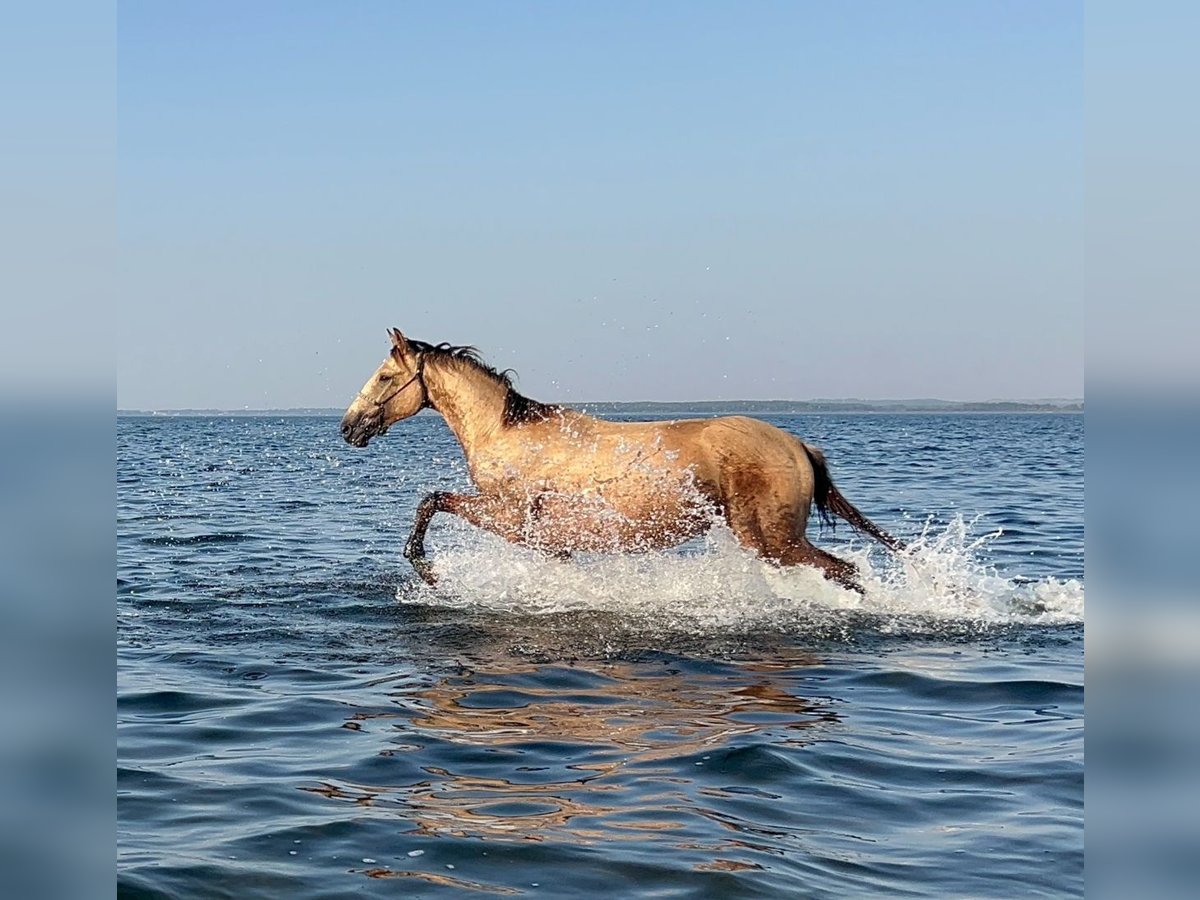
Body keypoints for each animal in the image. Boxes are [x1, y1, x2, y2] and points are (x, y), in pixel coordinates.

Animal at [340, 329, 904, 593]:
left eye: (386, 378)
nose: (348, 427)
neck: (506, 432)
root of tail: (797, 446)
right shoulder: (549, 541)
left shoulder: (511, 517)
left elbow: (431, 501)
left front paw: (430, 574)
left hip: (773, 541)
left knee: (844, 570)